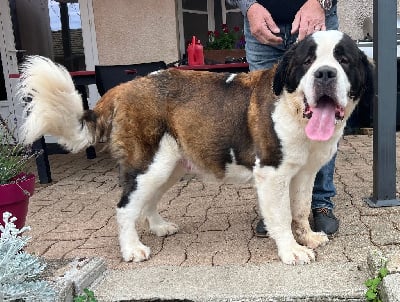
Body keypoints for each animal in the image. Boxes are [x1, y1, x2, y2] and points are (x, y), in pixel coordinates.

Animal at [18, 30, 376, 264]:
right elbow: (281, 215)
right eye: (307, 62)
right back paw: (131, 249)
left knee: (146, 202)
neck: (292, 107)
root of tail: (124, 87)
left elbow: (300, 209)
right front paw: (291, 250)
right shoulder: (272, 175)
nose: (325, 73)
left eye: (343, 60)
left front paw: (308, 236)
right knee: (124, 207)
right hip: (149, 165)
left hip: (170, 167)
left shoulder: (304, 173)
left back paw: (159, 227)